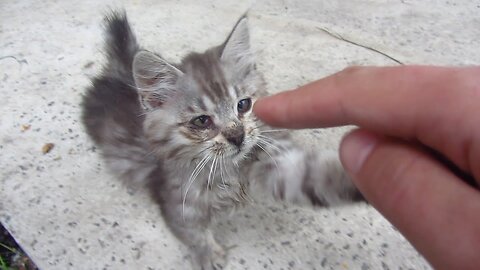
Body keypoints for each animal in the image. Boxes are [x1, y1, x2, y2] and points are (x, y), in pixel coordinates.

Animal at [81, 11, 364, 270]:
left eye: (244, 105)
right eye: (201, 121)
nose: (237, 136)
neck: (228, 171)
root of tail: (119, 72)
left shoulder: (271, 162)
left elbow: (313, 178)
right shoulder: (176, 200)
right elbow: (194, 234)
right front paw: (208, 256)